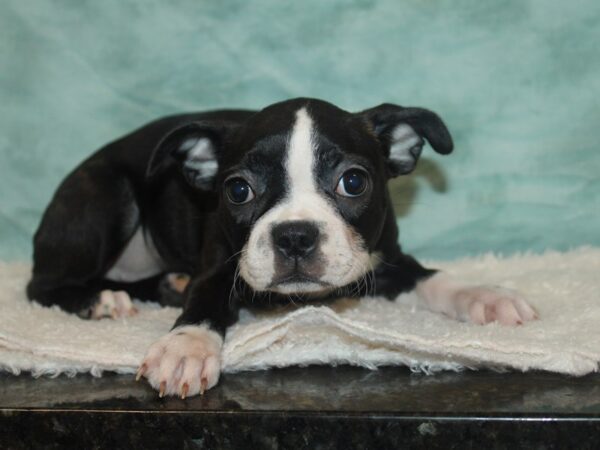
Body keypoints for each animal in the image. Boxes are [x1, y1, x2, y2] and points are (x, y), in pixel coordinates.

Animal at [28, 97, 536, 398]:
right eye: (237, 190)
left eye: (353, 182)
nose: (294, 235)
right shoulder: (218, 268)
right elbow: (204, 301)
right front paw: (186, 346)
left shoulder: (384, 259)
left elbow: (433, 277)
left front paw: (487, 296)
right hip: (106, 197)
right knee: (41, 285)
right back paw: (101, 299)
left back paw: (166, 284)